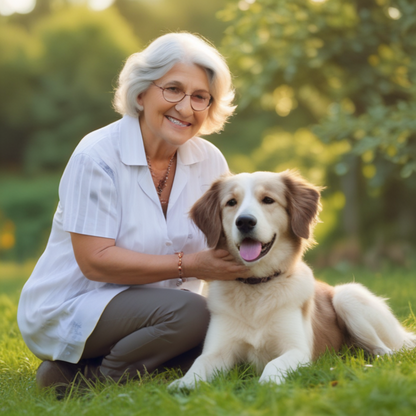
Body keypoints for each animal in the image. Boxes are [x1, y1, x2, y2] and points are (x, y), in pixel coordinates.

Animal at [169, 171, 416, 388]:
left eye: (268, 200)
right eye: (231, 202)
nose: (245, 222)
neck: (257, 285)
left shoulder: (298, 350)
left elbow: (273, 365)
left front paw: (267, 384)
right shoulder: (218, 350)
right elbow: (199, 363)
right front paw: (183, 384)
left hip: (348, 297)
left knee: (389, 351)